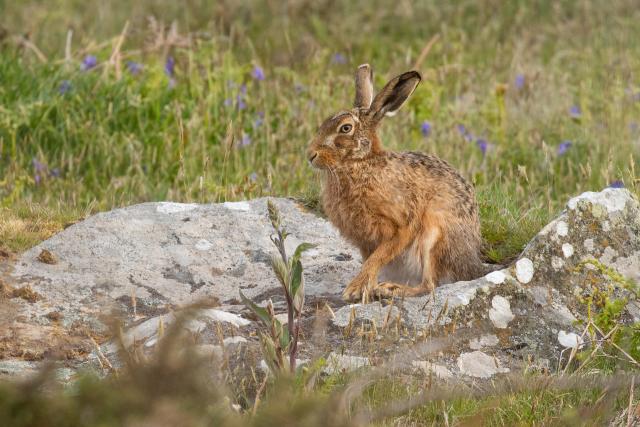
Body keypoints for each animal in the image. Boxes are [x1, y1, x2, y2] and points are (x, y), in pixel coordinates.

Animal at [307, 64, 494, 301]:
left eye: (345, 128)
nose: (310, 155)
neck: (361, 163)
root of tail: (471, 267)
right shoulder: (366, 241)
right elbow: (372, 261)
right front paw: (365, 289)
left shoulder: (402, 225)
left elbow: (378, 258)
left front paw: (355, 290)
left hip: (433, 236)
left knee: (429, 285)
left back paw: (391, 289)